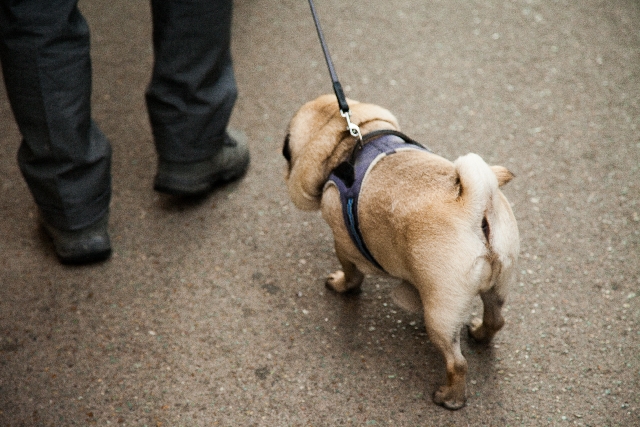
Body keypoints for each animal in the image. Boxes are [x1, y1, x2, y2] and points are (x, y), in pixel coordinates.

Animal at [282, 94, 520, 412]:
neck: (348, 139)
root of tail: (475, 205)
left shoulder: (341, 243)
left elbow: (351, 272)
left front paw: (342, 285)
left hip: (441, 314)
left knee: (457, 363)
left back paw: (451, 397)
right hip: (498, 285)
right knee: (496, 320)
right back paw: (480, 334)